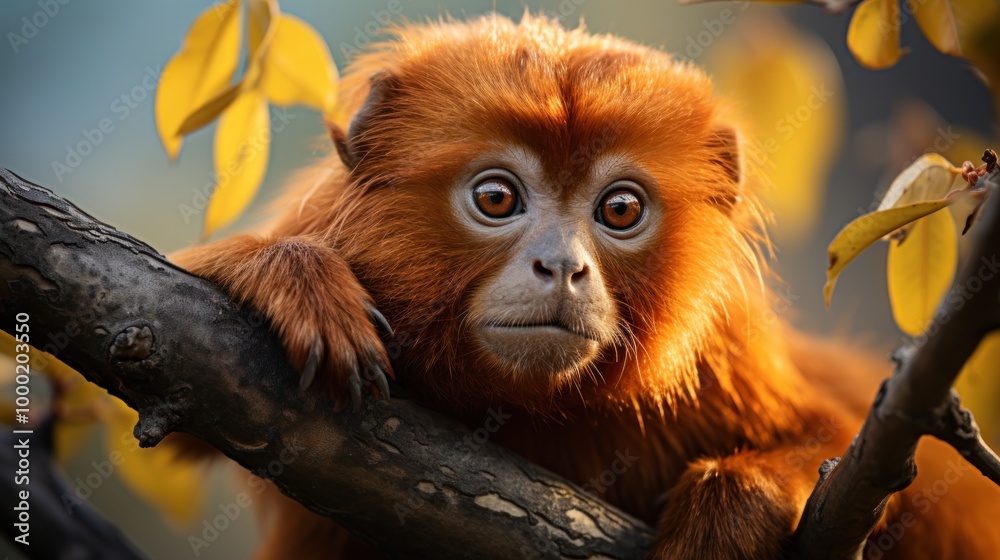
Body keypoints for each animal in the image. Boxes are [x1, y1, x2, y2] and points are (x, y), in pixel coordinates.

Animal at [169, 13, 1000, 559]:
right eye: (496, 198)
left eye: (620, 210)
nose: (562, 267)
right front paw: (294, 277)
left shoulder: (726, 363)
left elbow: (861, 455)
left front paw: (729, 510)